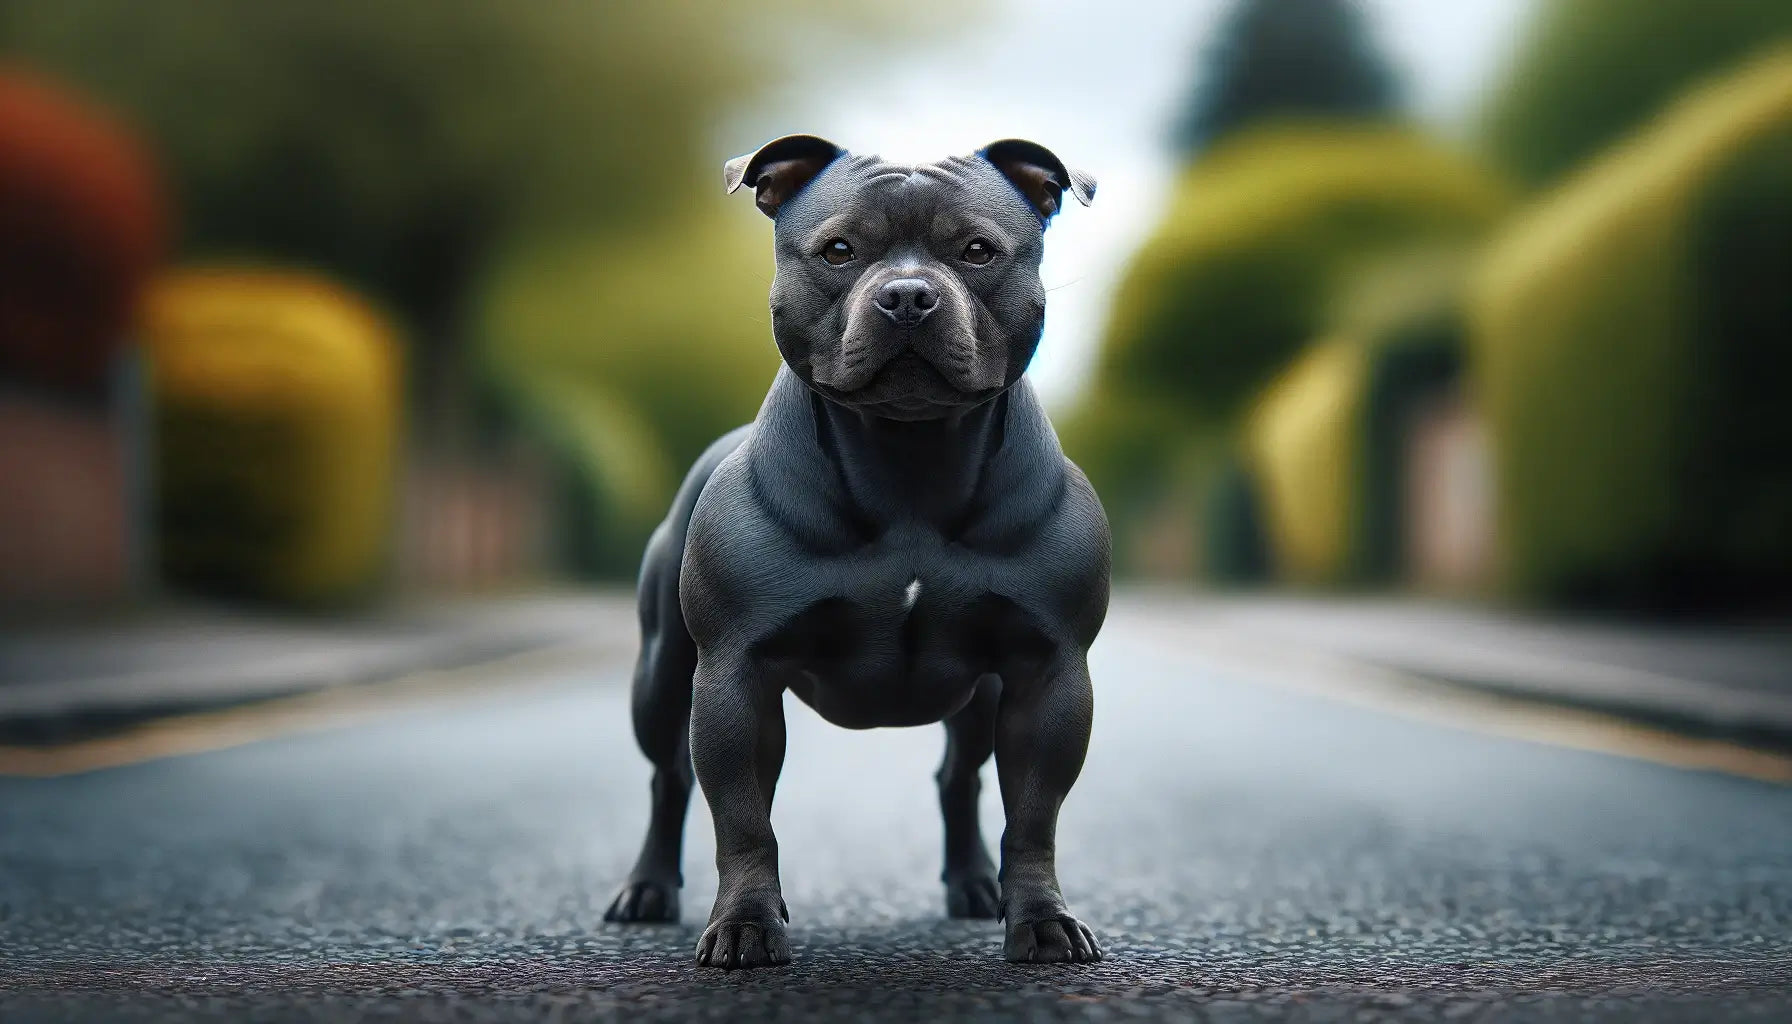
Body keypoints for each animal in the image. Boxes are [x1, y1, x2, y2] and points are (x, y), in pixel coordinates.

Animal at [602, 136, 1103, 968]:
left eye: (977, 251)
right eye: (838, 251)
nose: (906, 295)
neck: (908, 457)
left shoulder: (1047, 673)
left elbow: (1034, 818)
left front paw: (1041, 919)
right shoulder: (734, 676)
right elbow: (744, 820)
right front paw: (745, 925)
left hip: (982, 697)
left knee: (959, 777)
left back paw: (976, 887)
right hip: (662, 676)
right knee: (668, 777)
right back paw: (646, 890)